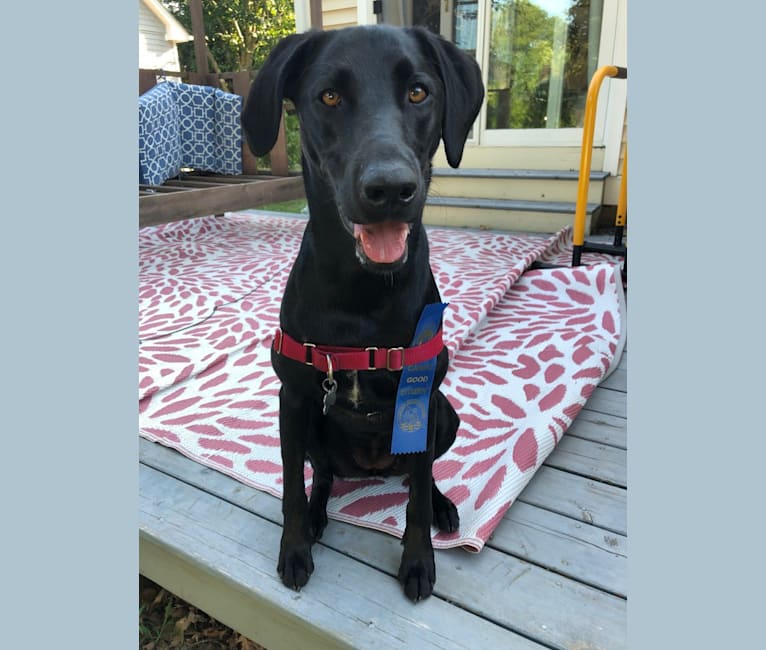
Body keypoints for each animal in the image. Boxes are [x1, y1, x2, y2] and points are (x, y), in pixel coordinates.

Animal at [244, 26, 486, 604]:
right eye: (329, 96)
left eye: (419, 92)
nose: (390, 189)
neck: (362, 291)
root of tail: (372, 467)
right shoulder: (292, 398)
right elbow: (290, 488)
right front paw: (294, 547)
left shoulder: (420, 393)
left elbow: (416, 500)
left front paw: (418, 560)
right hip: (313, 427)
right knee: (325, 476)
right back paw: (318, 515)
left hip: (443, 413)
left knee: (419, 474)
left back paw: (441, 502)